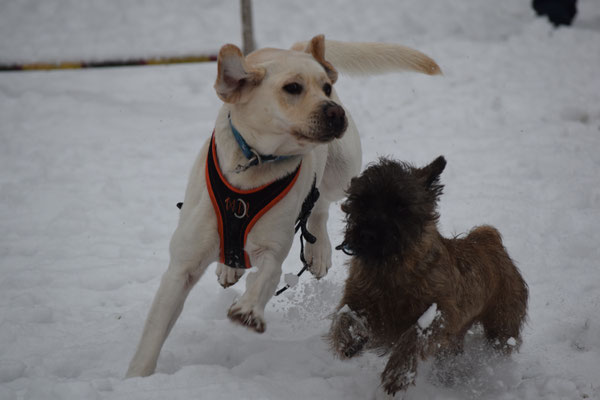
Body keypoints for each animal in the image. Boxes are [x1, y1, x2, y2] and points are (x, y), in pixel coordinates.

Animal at [126, 35, 438, 378]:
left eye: (325, 87)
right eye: (292, 88)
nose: (335, 111)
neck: (254, 164)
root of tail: (296, 49)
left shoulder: (273, 249)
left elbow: (265, 276)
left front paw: (248, 310)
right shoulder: (182, 266)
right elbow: (154, 330)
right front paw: (137, 378)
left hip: (342, 171)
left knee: (320, 205)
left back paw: (317, 250)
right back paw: (229, 265)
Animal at [328, 155, 528, 394]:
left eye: (400, 205)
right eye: (362, 201)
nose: (367, 234)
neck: (392, 270)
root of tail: (490, 241)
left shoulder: (442, 312)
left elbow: (416, 333)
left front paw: (398, 373)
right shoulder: (359, 299)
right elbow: (344, 316)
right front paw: (349, 340)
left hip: (502, 325)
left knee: (498, 345)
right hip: (456, 341)